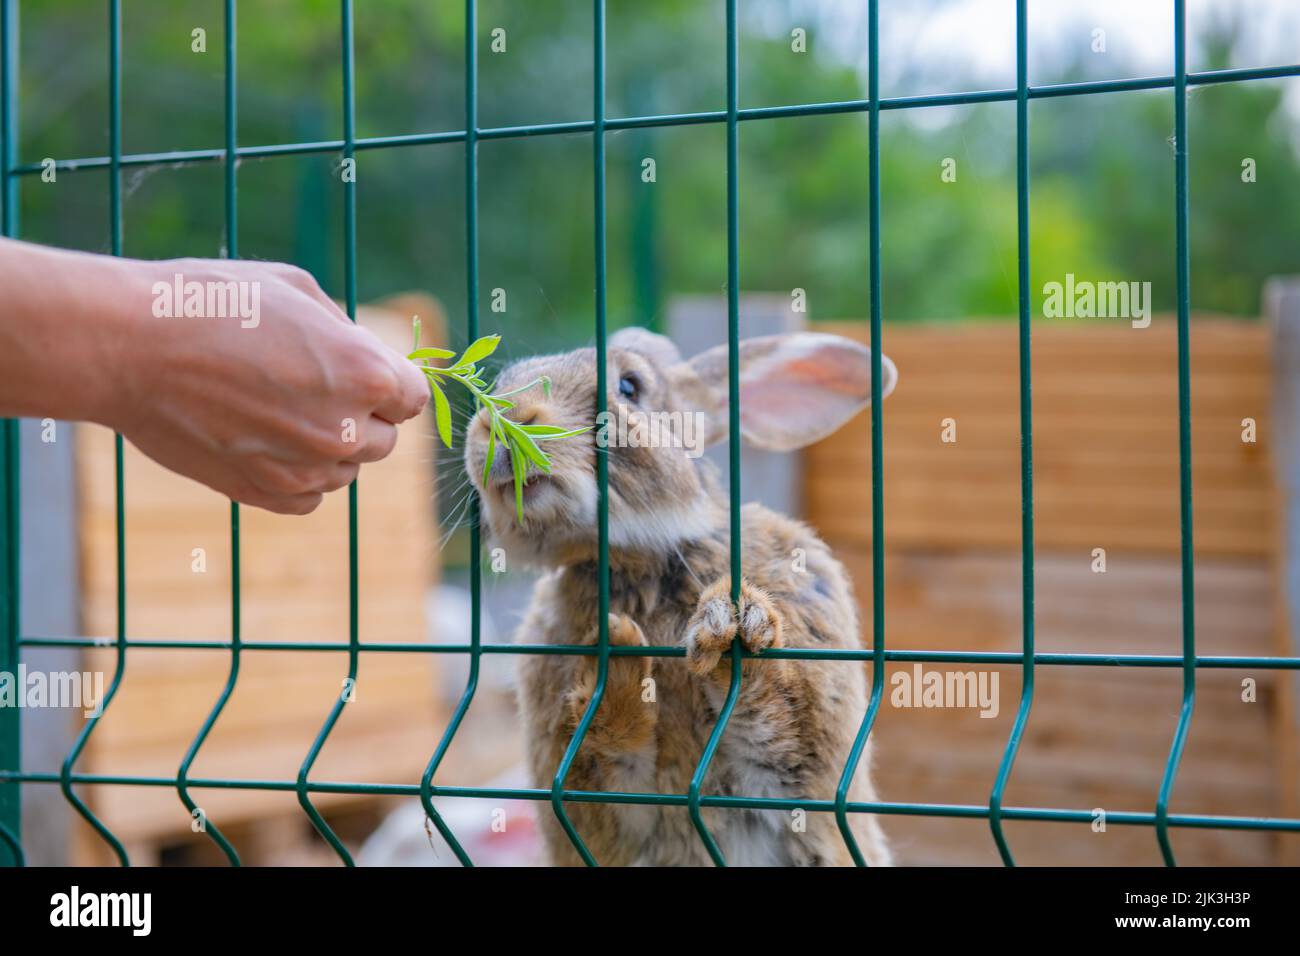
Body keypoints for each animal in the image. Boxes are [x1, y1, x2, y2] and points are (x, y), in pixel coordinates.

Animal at [462, 323, 899, 868]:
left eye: (629, 387)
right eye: (503, 381)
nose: (500, 422)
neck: (632, 563)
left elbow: (776, 728)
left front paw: (732, 625)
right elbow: (614, 764)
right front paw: (617, 661)